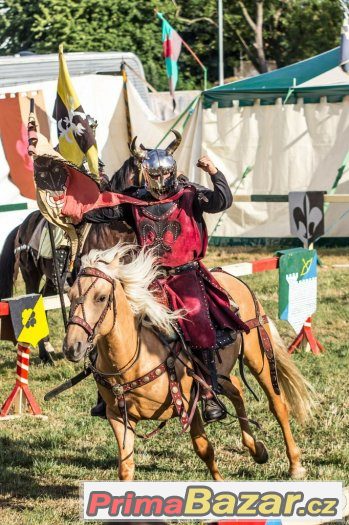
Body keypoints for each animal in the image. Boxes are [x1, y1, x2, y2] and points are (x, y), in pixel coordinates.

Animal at [0, 156, 139, 360]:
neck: (111, 229)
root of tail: (21, 226)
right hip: (30, 274)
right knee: (36, 302)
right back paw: (45, 353)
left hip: (52, 279)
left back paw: (48, 349)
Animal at [62, 244, 312, 482]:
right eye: (71, 296)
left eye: (101, 298)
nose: (72, 346)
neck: (135, 359)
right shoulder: (118, 418)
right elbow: (126, 468)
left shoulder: (189, 403)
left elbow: (204, 449)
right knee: (237, 389)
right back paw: (256, 450)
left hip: (257, 356)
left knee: (277, 404)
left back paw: (295, 465)